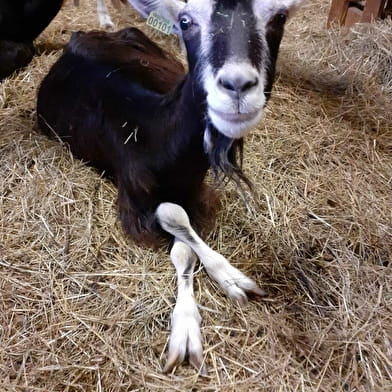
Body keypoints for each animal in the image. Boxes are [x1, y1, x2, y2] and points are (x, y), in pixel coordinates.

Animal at [36, 0, 304, 376]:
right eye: (186, 21)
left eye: (279, 17)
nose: (237, 85)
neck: (153, 132)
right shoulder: (137, 205)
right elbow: (176, 227)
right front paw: (188, 327)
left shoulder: (198, 193)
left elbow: (186, 239)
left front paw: (230, 280)